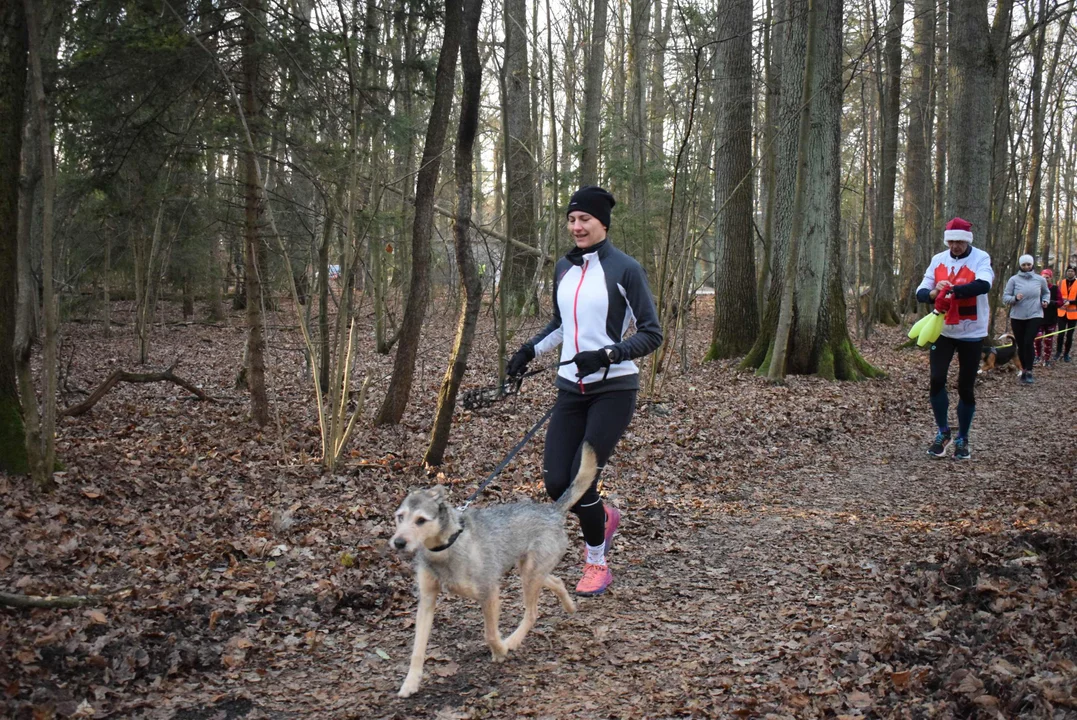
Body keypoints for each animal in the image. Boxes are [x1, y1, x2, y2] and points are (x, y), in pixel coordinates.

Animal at [392, 441, 603, 693]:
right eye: (400, 517)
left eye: (421, 520)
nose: (398, 542)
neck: (447, 546)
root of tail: (552, 512)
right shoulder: (426, 600)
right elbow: (417, 648)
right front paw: (410, 683)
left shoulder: (489, 593)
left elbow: (490, 634)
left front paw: (500, 650)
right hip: (529, 570)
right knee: (556, 581)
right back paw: (569, 606)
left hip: (530, 575)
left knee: (532, 612)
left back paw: (512, 641)